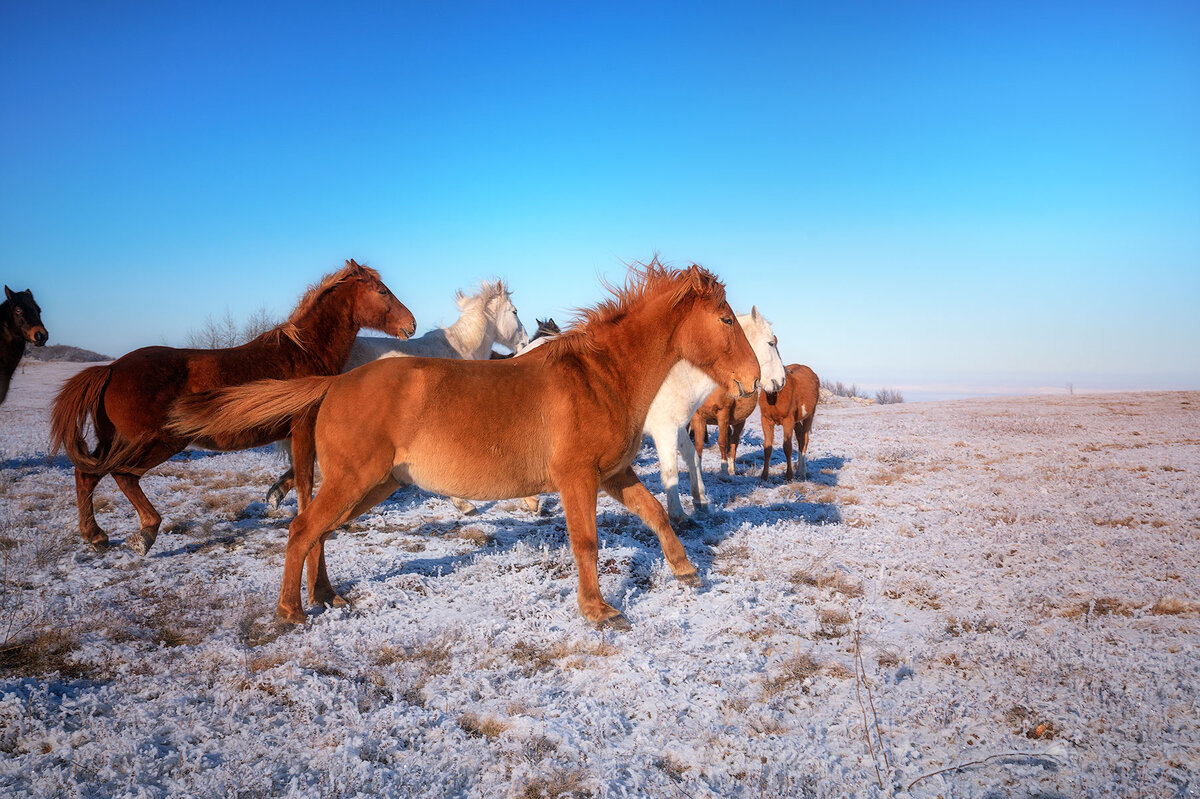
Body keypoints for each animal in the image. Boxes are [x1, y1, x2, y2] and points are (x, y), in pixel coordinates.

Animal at [50, 260, 417, 554]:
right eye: (382, 291)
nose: (411, 325)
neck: (303, 352)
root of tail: (111, 369)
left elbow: (295, 474)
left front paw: (274, 495)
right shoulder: (302, 428)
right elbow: (304, 478)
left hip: (116, 441)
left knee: (87, 474)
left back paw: (96, 537)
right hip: (157, 441)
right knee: (122, 475)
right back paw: (144, 534)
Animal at [648, 305, 787, 523]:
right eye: (771, 343)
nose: (781, 381)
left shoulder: (680, 426)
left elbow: (693, 454)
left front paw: (701, 500)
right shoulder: (666, 428)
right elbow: (671, 470)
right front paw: (678, 513)